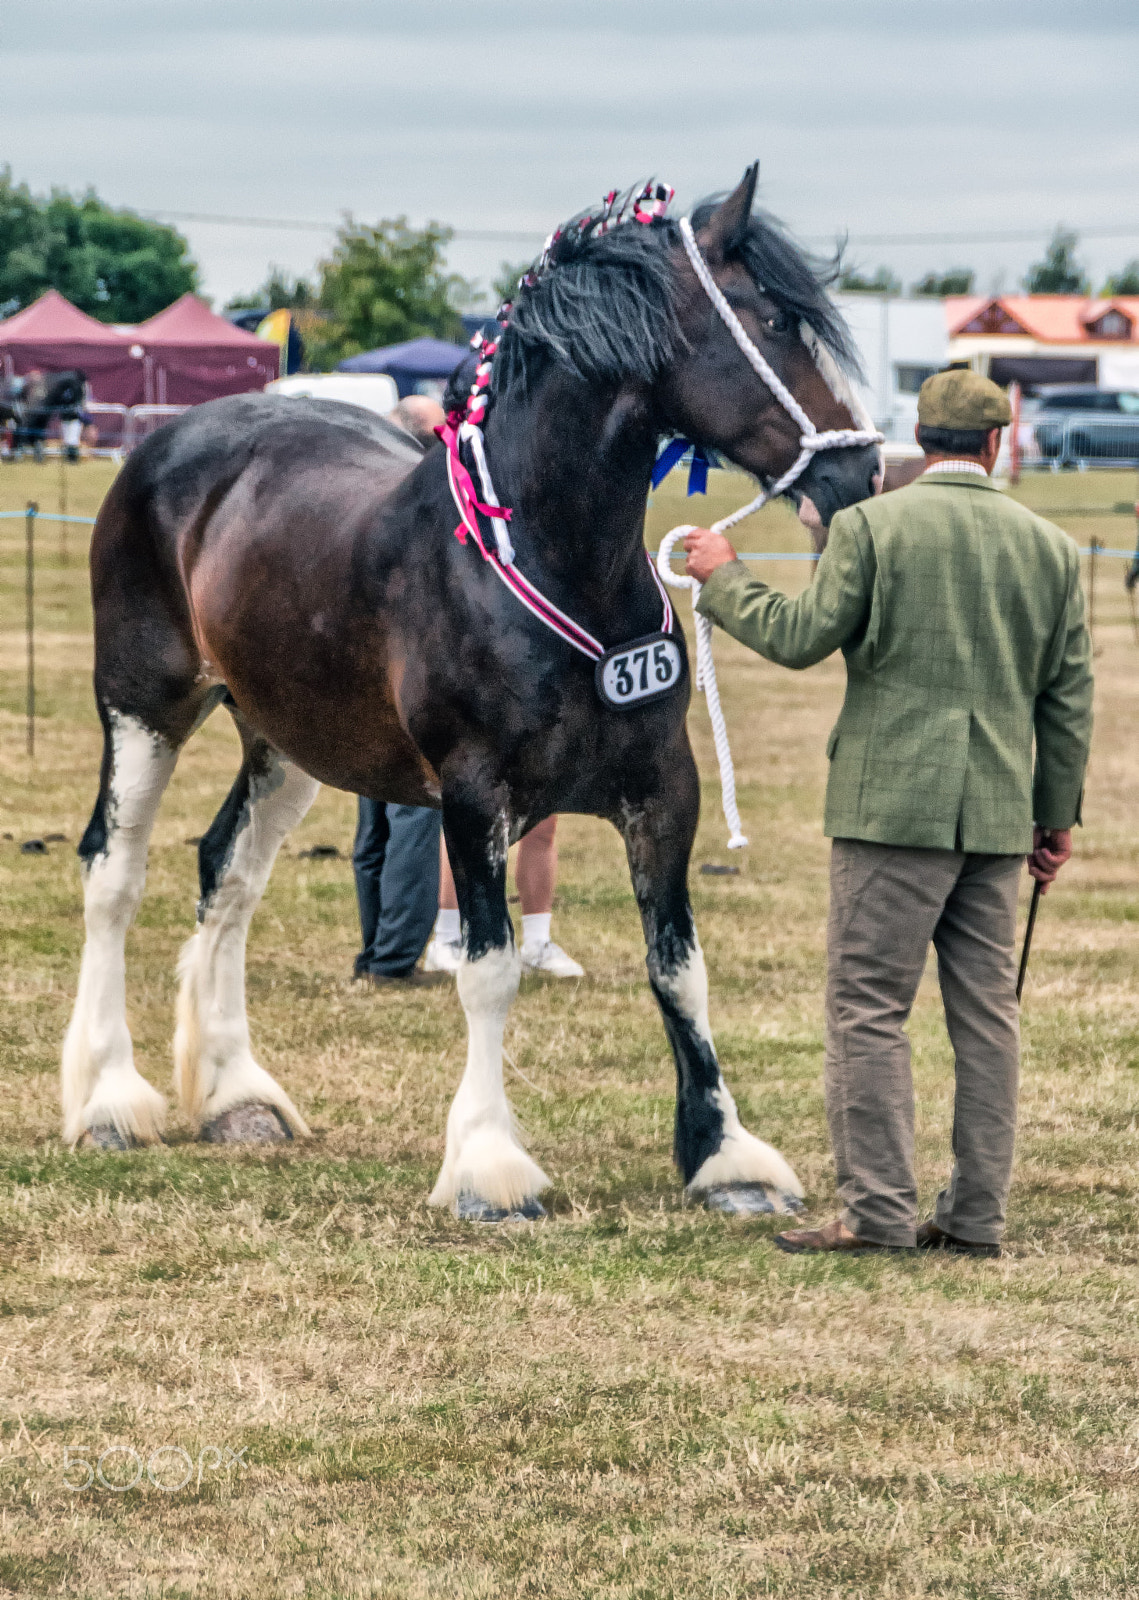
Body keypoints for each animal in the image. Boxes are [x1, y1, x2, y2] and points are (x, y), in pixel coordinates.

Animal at [61, 167, 881, 1220]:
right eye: (774, 320)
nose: (862, 469)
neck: (546, 558)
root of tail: (173, 445)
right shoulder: (472, 795)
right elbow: (488, 973)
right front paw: (490, 1165)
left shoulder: (664, 789)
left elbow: (679, 968)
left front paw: (724, 1154)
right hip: (143, 707)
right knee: (114, 873)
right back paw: (109, 1101)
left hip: (284, 740)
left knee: (227, 873)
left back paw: (238, 1094)